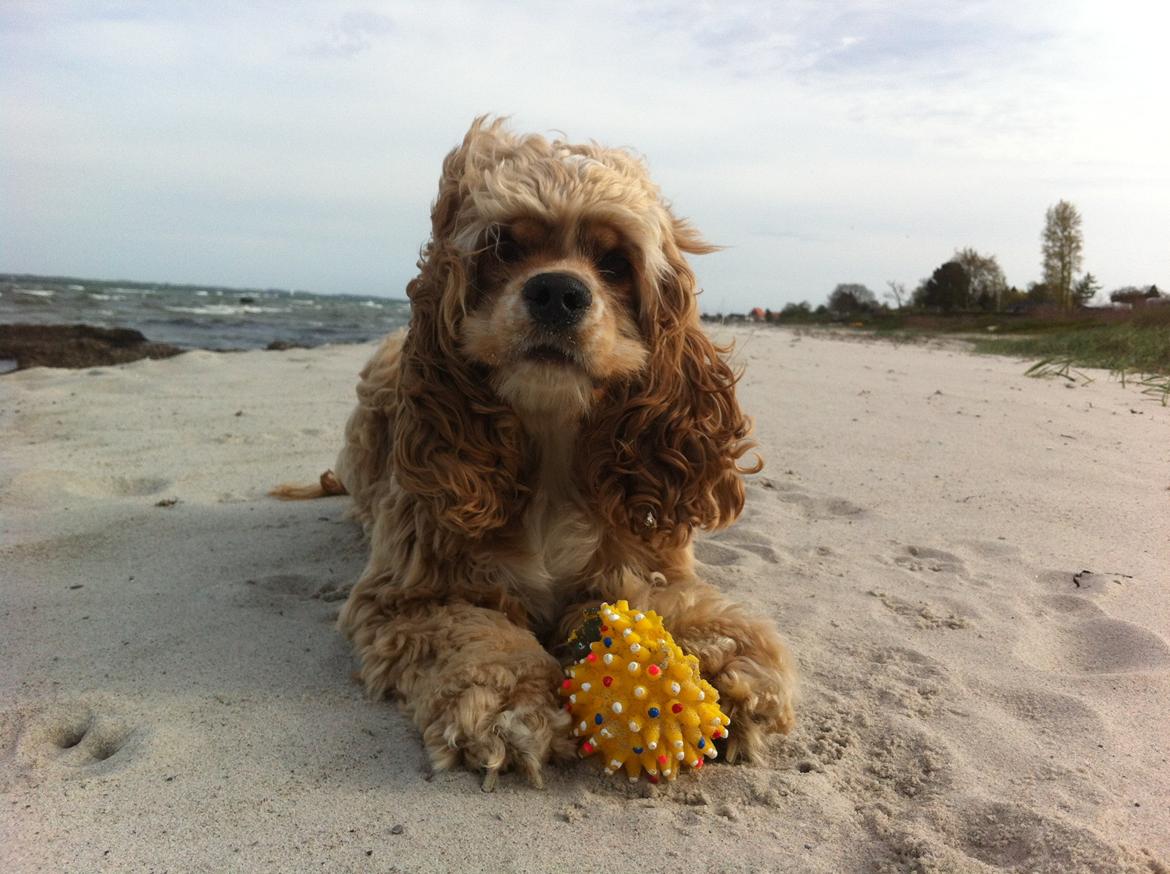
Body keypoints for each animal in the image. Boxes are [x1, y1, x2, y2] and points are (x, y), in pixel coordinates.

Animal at [276, 119, 795, 790]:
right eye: (503, 249)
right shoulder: (409, 595)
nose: (557, 291)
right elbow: (474, 630)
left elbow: (672, 602)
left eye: (615, 262)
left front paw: (733, 662)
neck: (550, 440)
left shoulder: (641, 556)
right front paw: (511, 703)